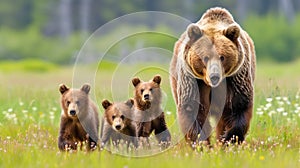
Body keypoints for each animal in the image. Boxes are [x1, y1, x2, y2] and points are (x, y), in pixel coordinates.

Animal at [170, 7, 256, 144]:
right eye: (205, 57)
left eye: (222, 57)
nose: (214, 76)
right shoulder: (194, 81)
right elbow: (192, 109)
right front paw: (201, 142)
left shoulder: (235, 79)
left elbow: (238, 106)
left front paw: (228, 138)